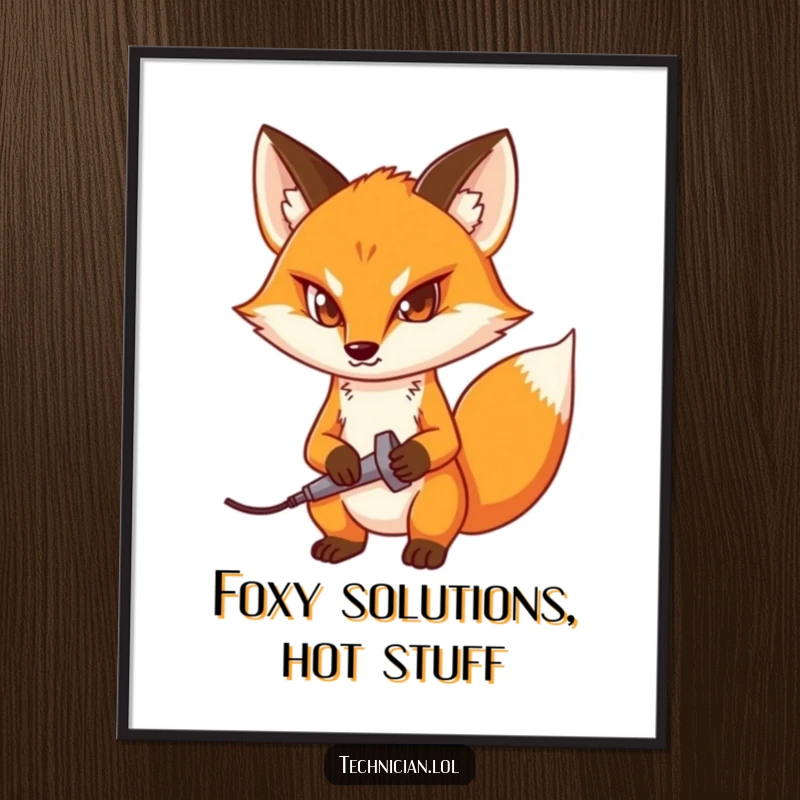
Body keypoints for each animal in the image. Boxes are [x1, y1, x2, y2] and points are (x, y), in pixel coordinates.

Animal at [233, 125, 575, 570]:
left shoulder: (435, 415)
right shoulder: (329, 413)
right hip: (325, 503)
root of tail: (387, 532)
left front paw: (405, 460)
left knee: (434, 527)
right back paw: (339, 546)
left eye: (419, 303)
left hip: (441, 494)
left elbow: (445, 441)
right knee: (340, 523)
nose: (360, 350)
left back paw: (424, 551)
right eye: (323, 306)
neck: (379, 393)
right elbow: (315, 446)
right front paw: (344, 462)